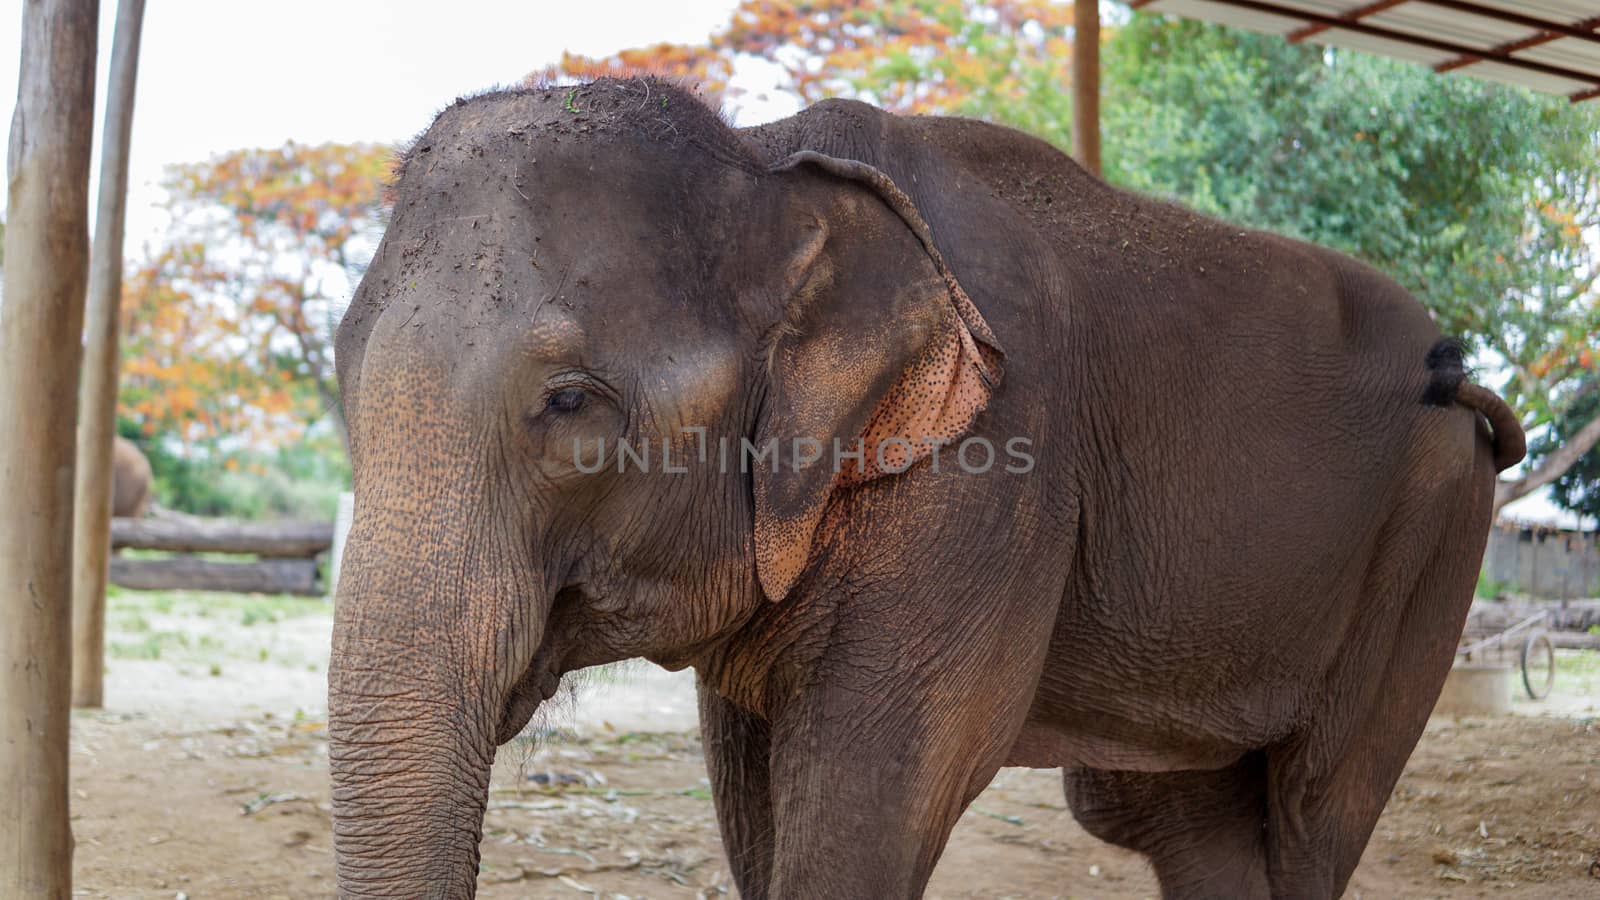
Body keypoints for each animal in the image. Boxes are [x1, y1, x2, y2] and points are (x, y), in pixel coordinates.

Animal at [324, 78, 1523, 896]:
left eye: (569, 402)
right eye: (341, 386)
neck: (769, 159)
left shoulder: (995, 467)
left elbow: (872, 798)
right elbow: (755, 805)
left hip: (1432, 543)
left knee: (1314, 811)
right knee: (1178, 813)